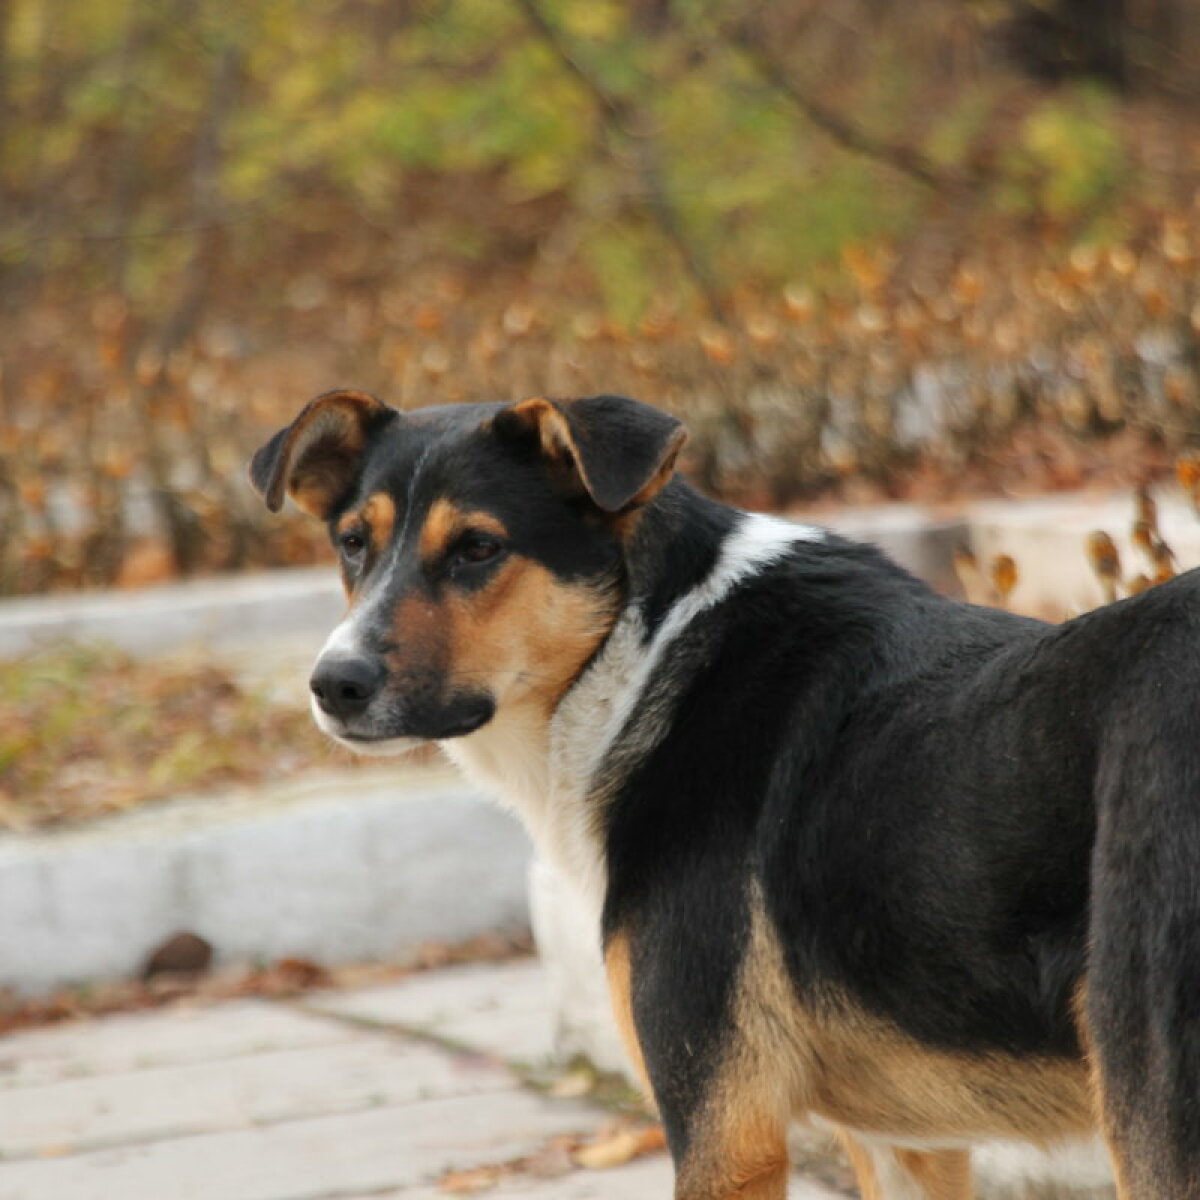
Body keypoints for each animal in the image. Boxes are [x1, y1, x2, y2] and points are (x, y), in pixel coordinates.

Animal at [250, 388, 1200, 1195]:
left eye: (479, 548)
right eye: (352, 543)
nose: (334, 684)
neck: (642, 648)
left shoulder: (725, 1133)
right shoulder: (906, 1142)